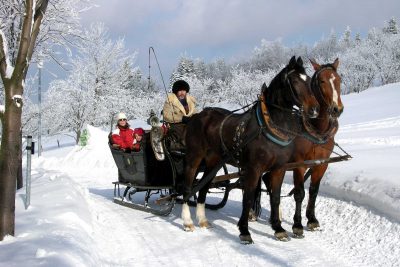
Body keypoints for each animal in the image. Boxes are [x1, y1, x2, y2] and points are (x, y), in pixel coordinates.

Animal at [181, 56, 318, 245]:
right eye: (295, 81)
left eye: (309, 79)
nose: (314, 109)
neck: (269, 126)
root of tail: (196, 117)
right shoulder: (254, 169)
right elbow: (248, 199)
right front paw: (245, 231)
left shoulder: (279, 169)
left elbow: (275, 198)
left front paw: (279, 229)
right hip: (194, 158)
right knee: (188, 187)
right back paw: (187, 221)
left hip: (213, 161)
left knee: (202, 187)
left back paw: (202, 220)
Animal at [262, 58, 344, 239]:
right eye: (322, 81)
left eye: (339, 79)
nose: (337, 109)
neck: (315, 129)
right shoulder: (299, 165)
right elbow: (299, 193)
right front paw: (297, 225)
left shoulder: (321, 164)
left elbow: (313, 191)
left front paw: (312, 219)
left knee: (268, 182)